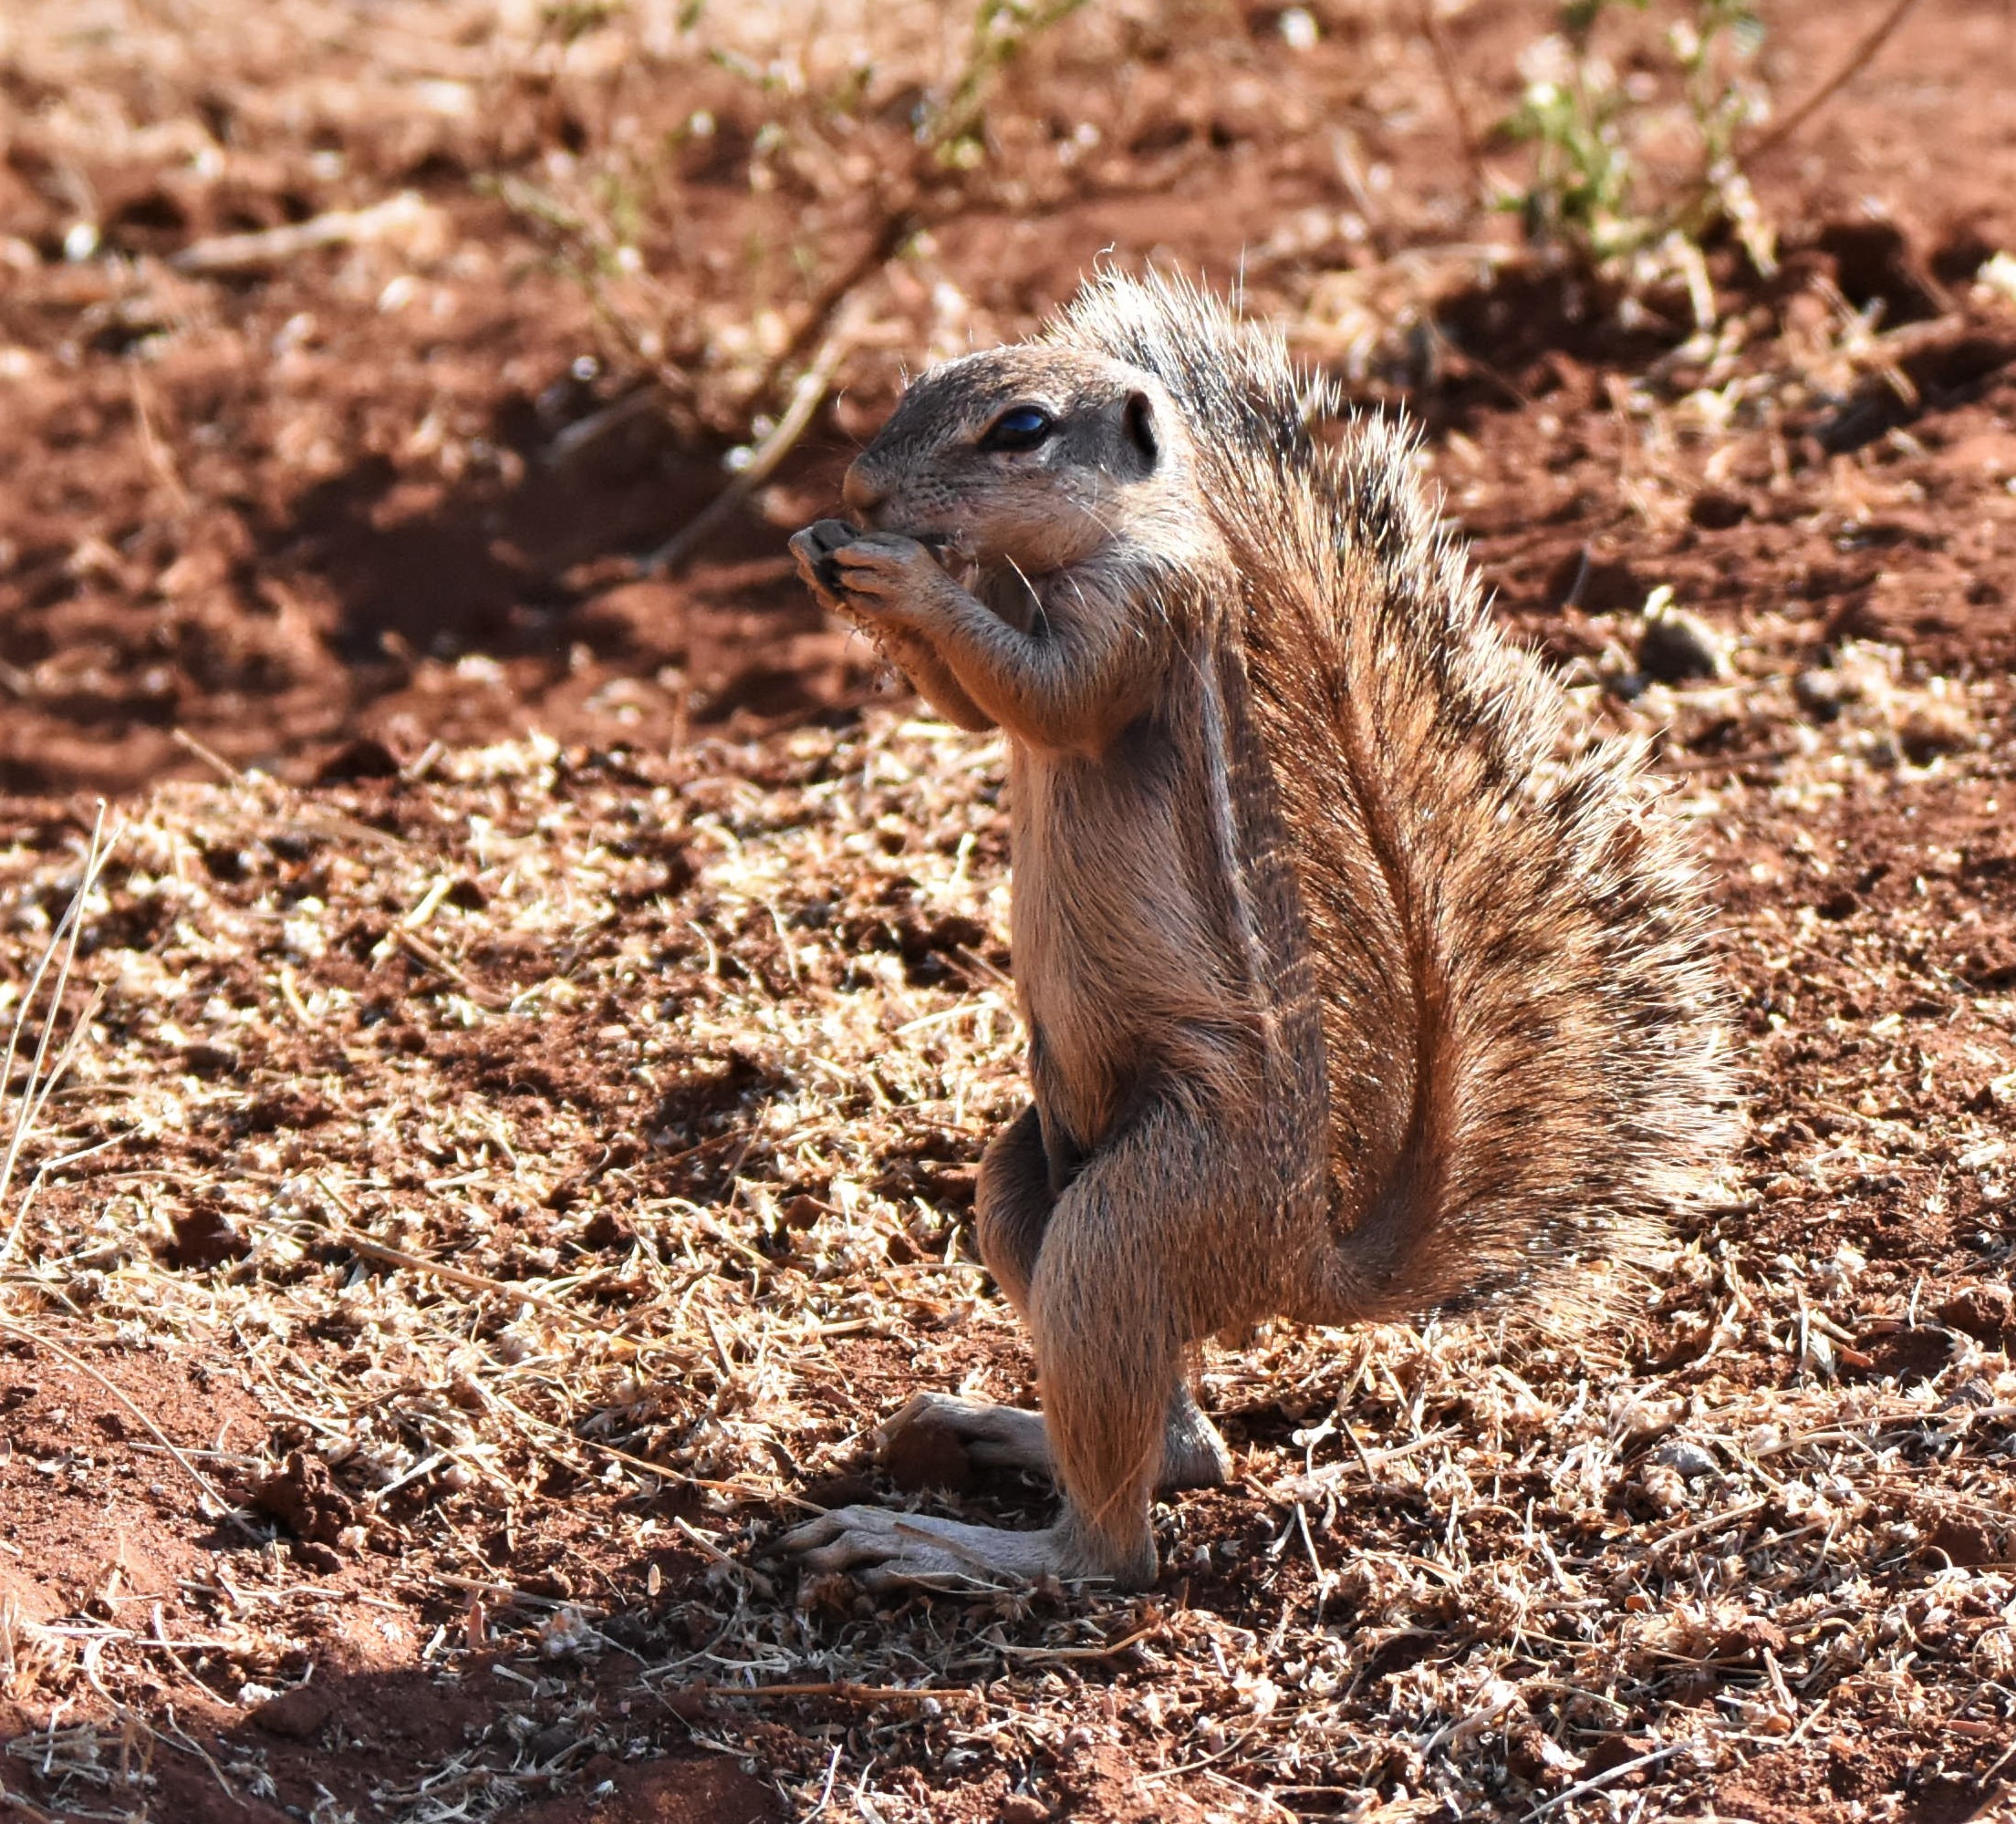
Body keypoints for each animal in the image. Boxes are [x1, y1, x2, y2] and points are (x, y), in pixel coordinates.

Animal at [778, 270, 1725, 1596]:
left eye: (1020, 429)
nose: (861, 493)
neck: (1082, 545)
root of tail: (1294, 1262)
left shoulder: (1146, 610)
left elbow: (1043, 697)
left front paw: (901, 575)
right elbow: (969, 709)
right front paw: (826, 554)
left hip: (1139, 1206)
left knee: (1114, 1545)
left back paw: (947, 1542)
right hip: (1030, 1174)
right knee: (1171, 1428)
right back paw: (994, 1428)